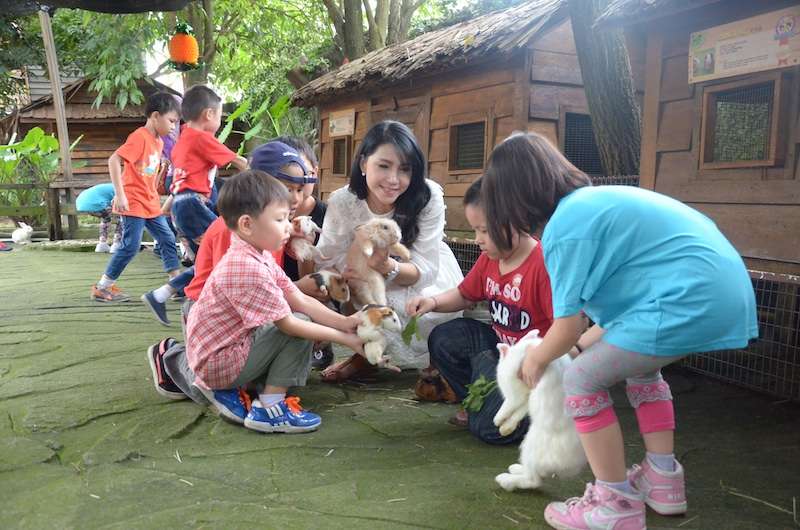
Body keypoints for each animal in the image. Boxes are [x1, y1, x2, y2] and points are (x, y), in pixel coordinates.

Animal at [490, 328, 584, 488]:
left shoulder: (515, 393)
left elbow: (509, 404)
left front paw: (497, 420)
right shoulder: (527, 395)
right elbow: (519, 411)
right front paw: (506, 428)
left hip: (529, 448)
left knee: (533, 481)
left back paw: (504, 479)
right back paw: (515, 468)